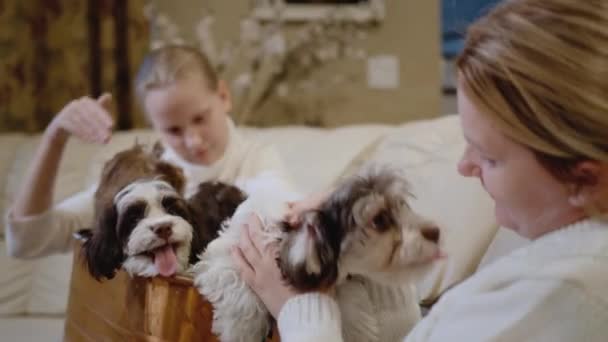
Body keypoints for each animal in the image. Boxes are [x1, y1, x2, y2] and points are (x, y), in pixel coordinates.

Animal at [195, 168, 442, 342]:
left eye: (402, 207)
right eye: (379, 220)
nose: (435, 232)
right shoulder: (226, 260)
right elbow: (240, 297)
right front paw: (240, 332)